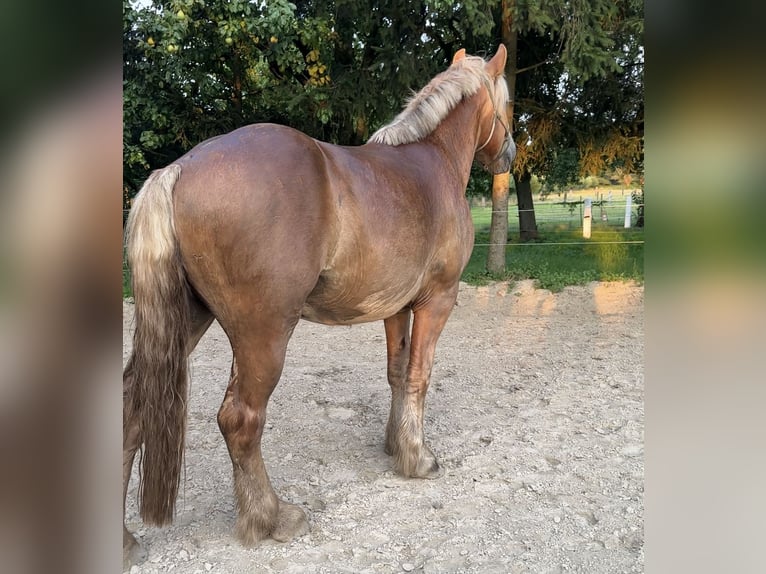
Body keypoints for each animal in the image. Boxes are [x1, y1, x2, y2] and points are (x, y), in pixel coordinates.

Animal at [124, 46, 516, 568]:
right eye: (507, 103)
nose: (510, 154)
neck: (431, 161)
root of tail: (180, 168)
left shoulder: (395, 307)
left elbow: (396, 372)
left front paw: (394, 444)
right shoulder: (438, 300)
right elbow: (419, 375)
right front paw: (417, 457)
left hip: (187, 319)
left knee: (131, 408)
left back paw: (123, 541)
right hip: (264, 334)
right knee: (240, 420)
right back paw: (271, 517)